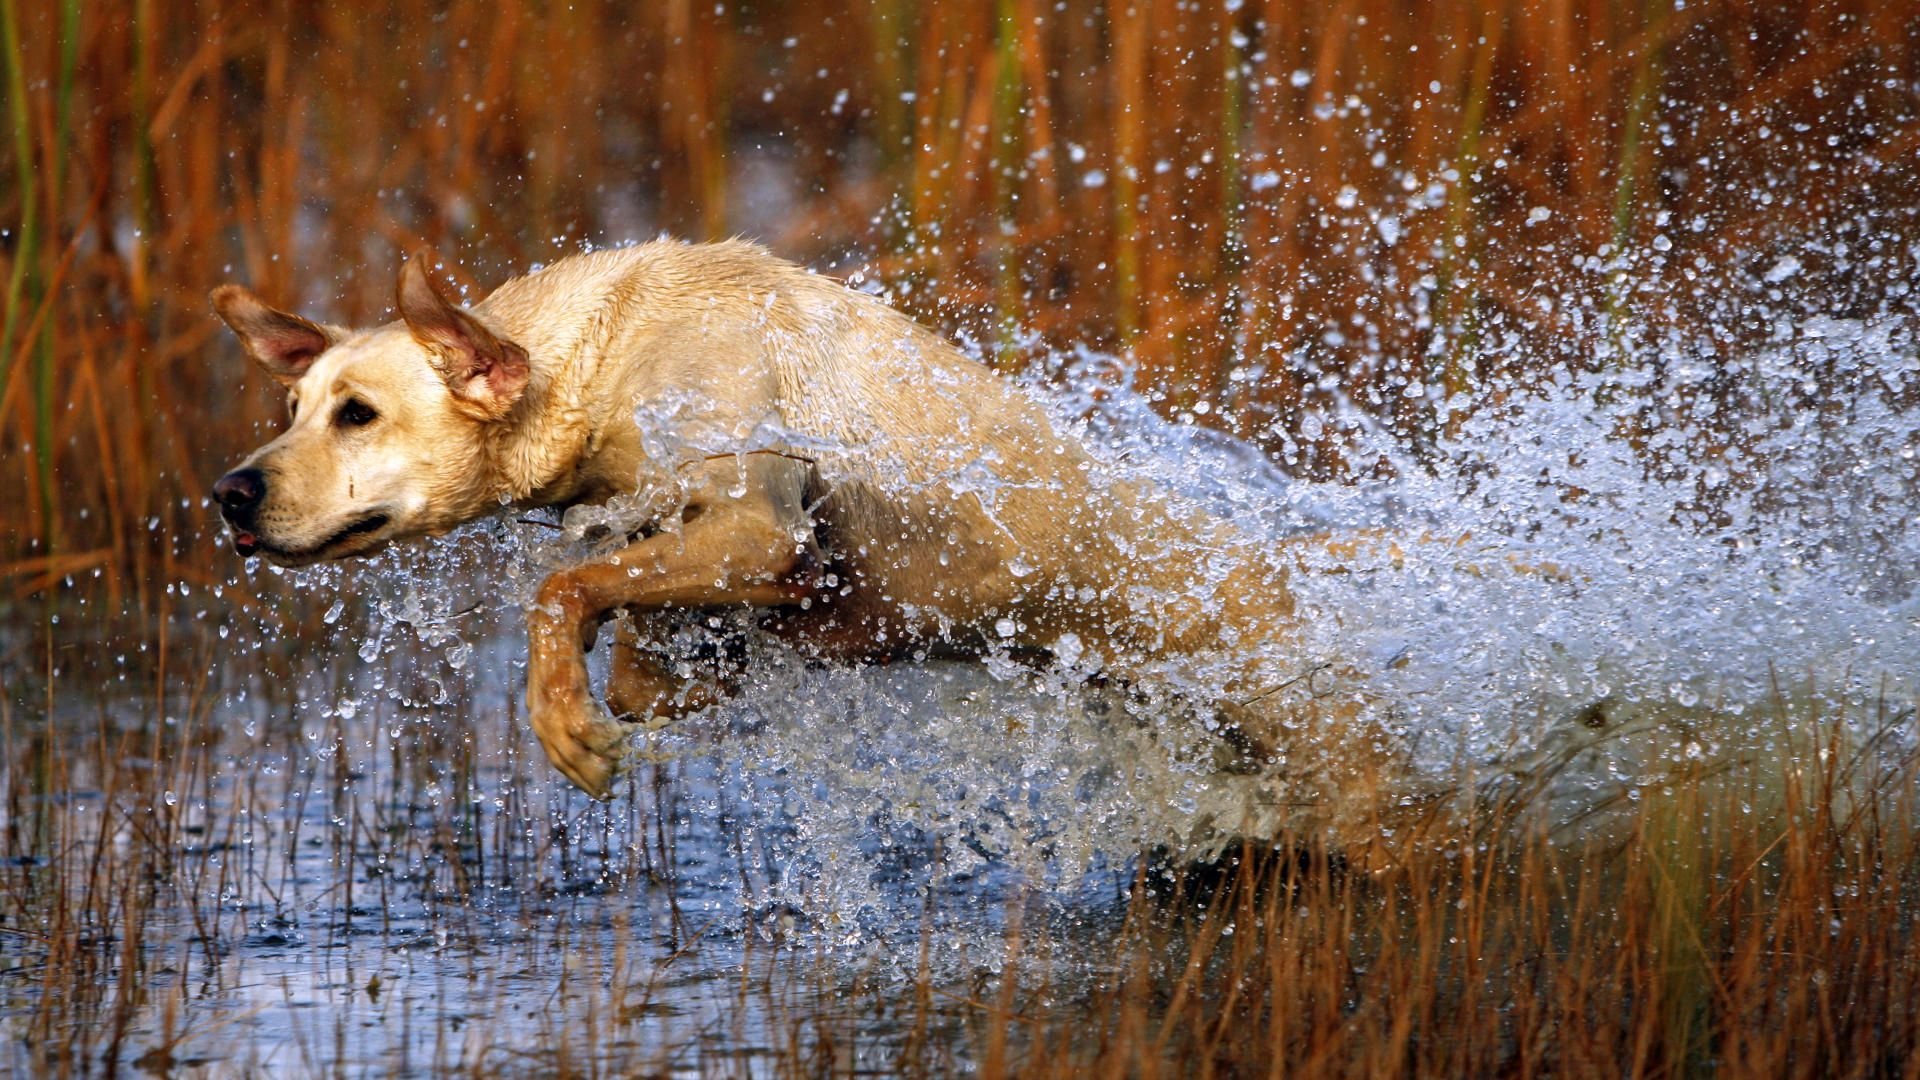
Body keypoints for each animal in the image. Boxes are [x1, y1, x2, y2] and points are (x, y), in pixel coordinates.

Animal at [214, 242, 1428, 849]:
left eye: (358, 413)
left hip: (1345, 774)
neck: (597, 359)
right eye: (293, 406)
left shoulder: (760, 517)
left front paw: (564, 722)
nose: (230, 492)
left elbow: (562, 590)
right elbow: (639, 642)